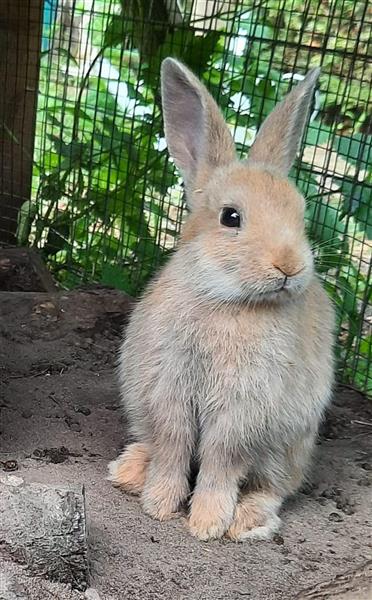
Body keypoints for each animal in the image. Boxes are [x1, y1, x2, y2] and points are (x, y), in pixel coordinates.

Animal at [107, 58, 334, 540]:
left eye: (301, 215)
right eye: (231, 217)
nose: (289, 266)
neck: (226, 299)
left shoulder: (242, 410)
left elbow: (220, 461)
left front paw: (207, 524)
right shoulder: (168, 391)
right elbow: (174, 448)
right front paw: (158, 505)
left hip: (289, 446)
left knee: (273, 488)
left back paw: (248, 521)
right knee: (153, 444)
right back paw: (130, 471)